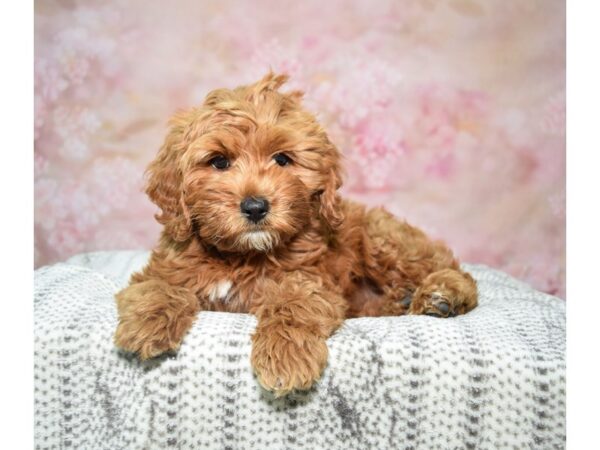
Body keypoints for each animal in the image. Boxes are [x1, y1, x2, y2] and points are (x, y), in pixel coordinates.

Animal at [113, 73, 478, 398]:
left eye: (282, 159)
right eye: (218, 162)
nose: (256, 207)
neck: (243, 255)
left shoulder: (310, 280)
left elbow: (293, 304)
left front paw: (285, 357)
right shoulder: (168, 266)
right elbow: (158, 286)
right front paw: (147, 324)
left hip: (383, 241)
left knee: (457, 273)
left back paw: (441, 296)